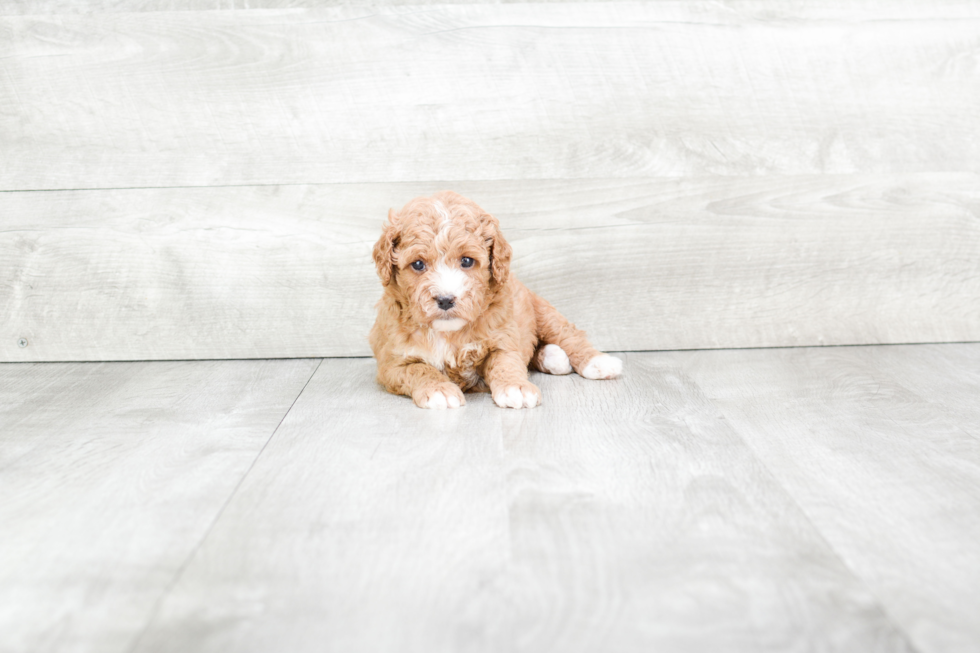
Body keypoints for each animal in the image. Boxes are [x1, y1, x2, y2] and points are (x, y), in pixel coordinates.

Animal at [368, 191, 620, 410]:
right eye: (418, 264)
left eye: (467, 261)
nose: (445, 300)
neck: (448, 333)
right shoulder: (392, 363)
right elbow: (419, 369)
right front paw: (439, 389)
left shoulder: (503, 339)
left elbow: (506, 362)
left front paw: (516, 388)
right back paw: (553, 358)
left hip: (543, 311)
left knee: (568, 334)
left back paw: (597, 362)